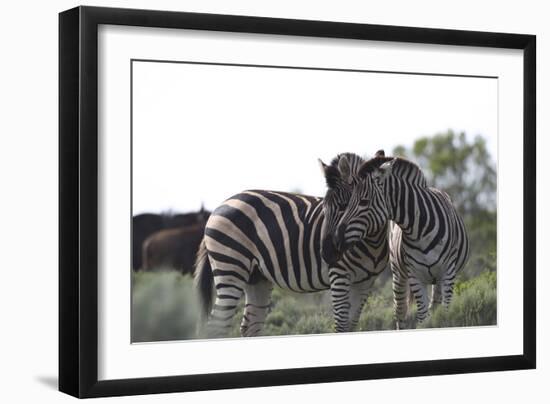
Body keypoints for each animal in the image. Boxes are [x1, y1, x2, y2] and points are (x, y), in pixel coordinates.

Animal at [195, 153, 392, 336]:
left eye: (345, 206)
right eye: (324, 208)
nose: (326, 253)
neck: (371, 241)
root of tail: (220, 206)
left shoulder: (365, 281)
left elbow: (352, 324)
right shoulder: (339, 274)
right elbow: (342, 325)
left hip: (256, 277)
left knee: (250, 326)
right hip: (230, 267)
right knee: (217, 325)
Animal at [330, 153, 472, 330]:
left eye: (364, 202)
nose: (336, 239)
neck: (420, 230)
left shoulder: (448, 273)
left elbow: (445, 314)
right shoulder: (415, 276)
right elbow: (423, 317)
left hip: (437, 279)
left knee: (435, 307)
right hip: (398, 275)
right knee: (400, 313)